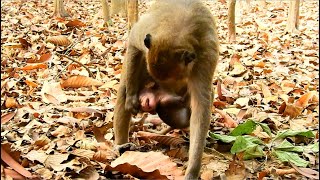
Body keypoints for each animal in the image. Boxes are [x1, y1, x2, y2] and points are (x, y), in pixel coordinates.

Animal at [114, 0, 219, 178]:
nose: (148, 105)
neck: (178, 30)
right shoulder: (146, 36)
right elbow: (134, 41)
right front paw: (131, 98)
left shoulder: (205, 58)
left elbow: (201, 105)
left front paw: (192, 170)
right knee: (123, 89)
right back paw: (123, 149)